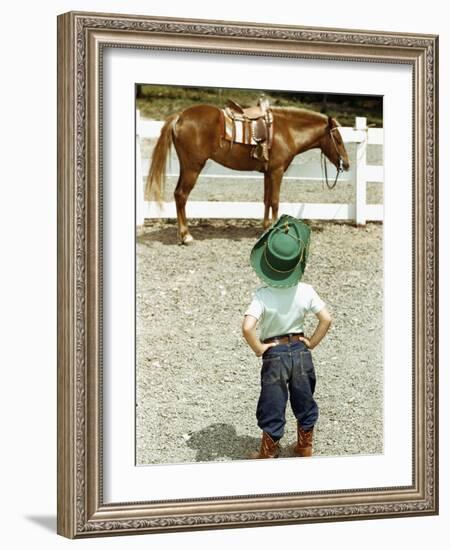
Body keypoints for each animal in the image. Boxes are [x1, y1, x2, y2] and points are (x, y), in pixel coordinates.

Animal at [146, 105, 350, 244]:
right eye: (338, 140)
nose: (347, 164)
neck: (287, 131)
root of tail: (179, 117)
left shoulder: (268, 173)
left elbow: (267, 201)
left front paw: (266, 228)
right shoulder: (277, 172)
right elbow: (275, 201)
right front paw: (275, 230)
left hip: (186, 167)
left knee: (177, 194)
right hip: (192, 168)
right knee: (181, 195)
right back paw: (186, 236)